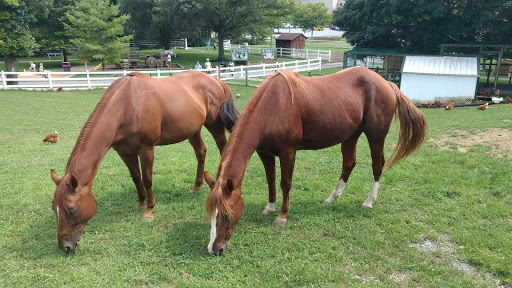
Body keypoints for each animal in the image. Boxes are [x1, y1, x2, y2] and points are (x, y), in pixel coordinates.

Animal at [49, 71, 238, 252]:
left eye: (71, 210)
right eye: (53, 207)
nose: (65, 246)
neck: (126, 105)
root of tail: (214, 79)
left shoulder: (146, 149)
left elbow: (147, 179)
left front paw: (149, 211)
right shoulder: (125, 152)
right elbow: (135, 177)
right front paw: (140, 203)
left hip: (215, 126)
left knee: (223, 150)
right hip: (193, 130)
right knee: (200, 153)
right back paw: (196, 186)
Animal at [205, 67, 428, 254]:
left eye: (226, 215)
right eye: (211, 213)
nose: (215, 249)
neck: (273, 106)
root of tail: (386, 83)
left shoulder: (288, 152)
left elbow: (285, 183)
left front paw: (282, 216)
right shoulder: (265, 153)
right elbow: (270, 181)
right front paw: (270, 207)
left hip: (376, 137)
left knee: (377, 166)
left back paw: (368, 202)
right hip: (351, 135)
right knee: (349, 163)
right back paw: (331, 198)